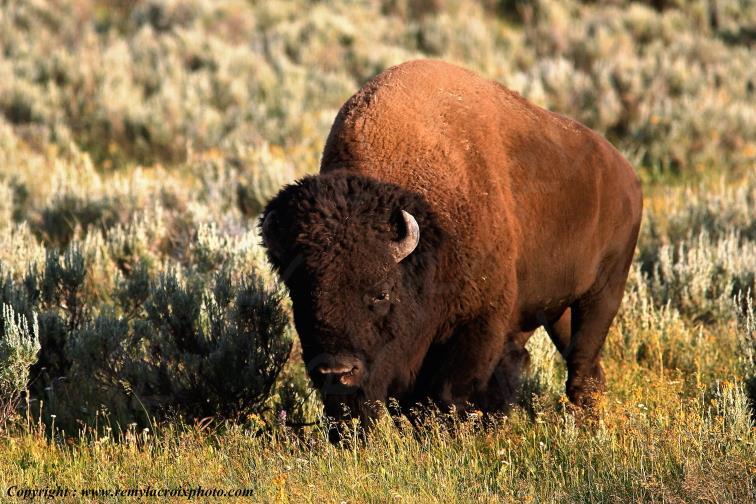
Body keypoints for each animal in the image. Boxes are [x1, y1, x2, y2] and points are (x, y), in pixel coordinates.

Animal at [261, 60, 642, 435]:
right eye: (300, 293)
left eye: (381, 293)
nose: (337, 372)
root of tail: (627, 174)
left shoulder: (477, 325)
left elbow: (450, 392)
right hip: (557, 310)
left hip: (602, 292)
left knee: (581, 363)